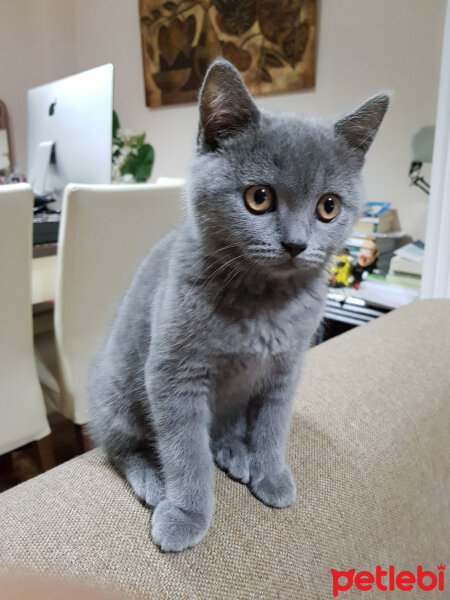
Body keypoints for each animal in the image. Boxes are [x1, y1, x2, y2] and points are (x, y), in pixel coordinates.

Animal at [88, 58, 386, 552]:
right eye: (259, 197)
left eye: (328, 206)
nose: (295, 244)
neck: (264, 305)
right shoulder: (173, 374)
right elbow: (185, 451)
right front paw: (187, 513)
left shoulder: (286, 368)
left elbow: (271, 426)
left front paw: (271, 473)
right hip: (117, 392)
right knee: (121, 446)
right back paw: (152, 480)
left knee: (223, 429)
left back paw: (233, 451)